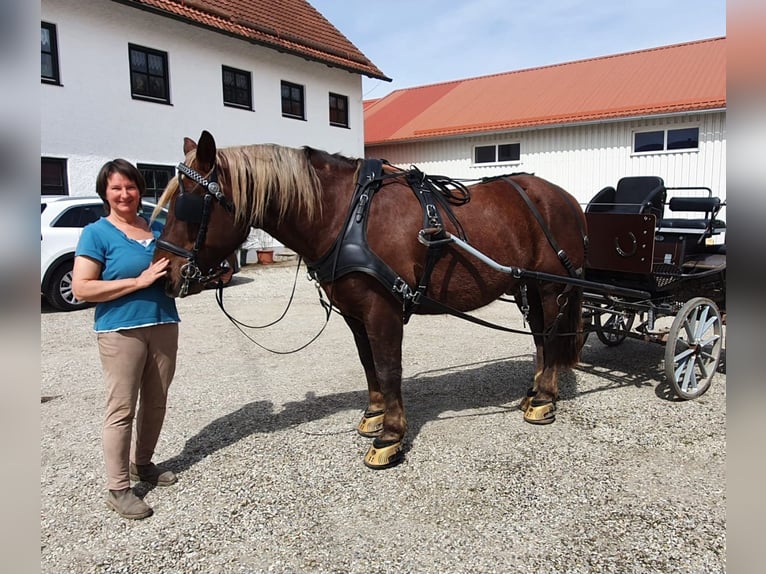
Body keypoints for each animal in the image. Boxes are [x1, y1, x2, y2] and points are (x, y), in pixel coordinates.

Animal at [154, 133, 588, 470]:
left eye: (187, 206)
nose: (165, 275)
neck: (348, 216)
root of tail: (565, 198)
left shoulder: (383, 309)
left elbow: (388, 365)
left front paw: (390, 436)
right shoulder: (353, 311)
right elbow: (368, 363)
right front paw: (374, 414)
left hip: (550, 287)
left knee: (551, 336)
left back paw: (544, 399)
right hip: (527, 285)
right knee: (539, 338)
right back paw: (534, 390)